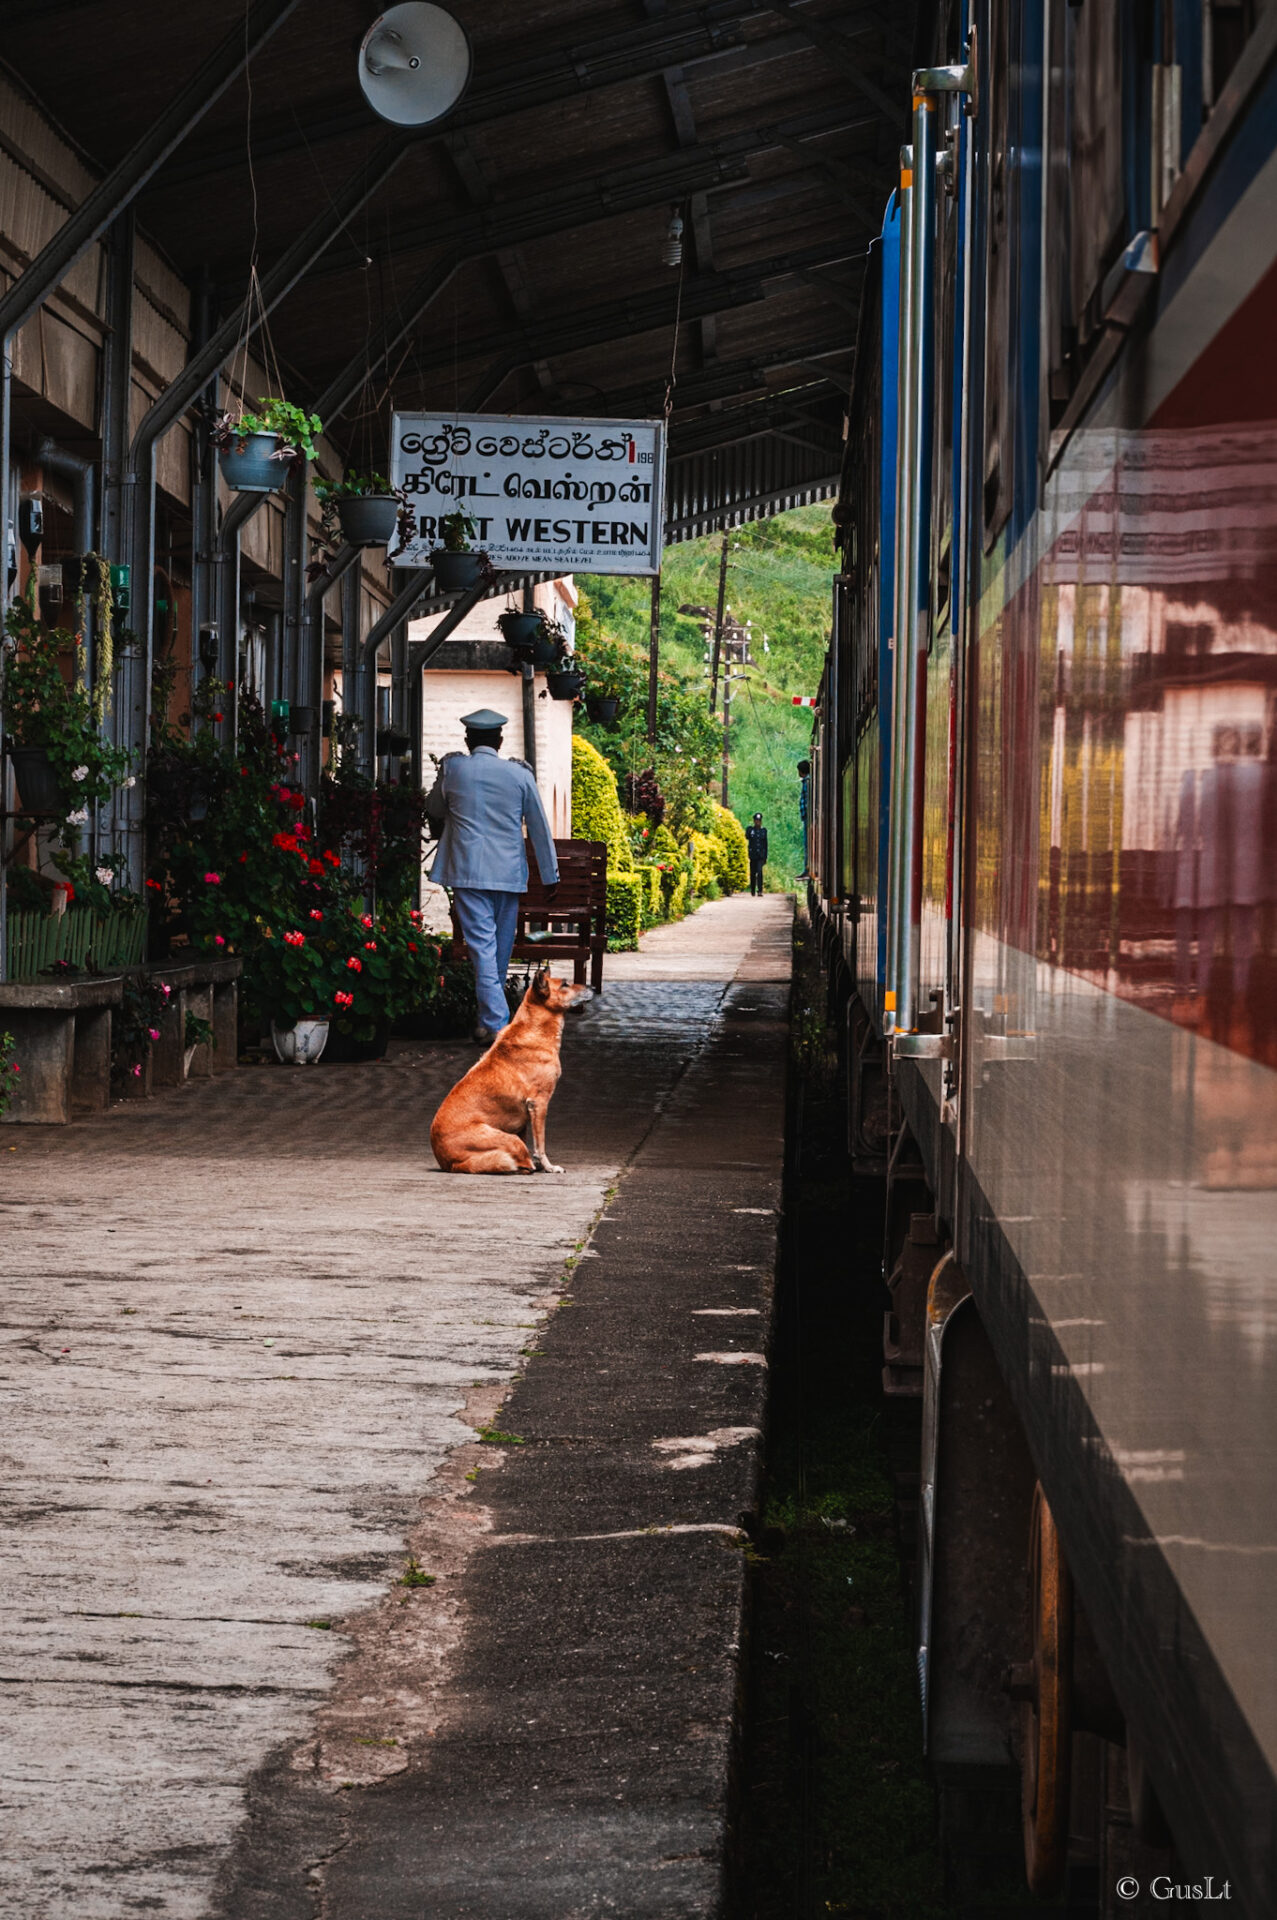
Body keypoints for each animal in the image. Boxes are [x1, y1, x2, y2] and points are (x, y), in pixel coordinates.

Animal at [426, 960, 591, 1167]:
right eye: (564, 984)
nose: (593, 987)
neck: (535, 1029)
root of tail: (449, 1162)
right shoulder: (539, 1103)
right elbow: (540, 1143)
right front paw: (548, 1166)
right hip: (508, 1138)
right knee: (522, 1160)